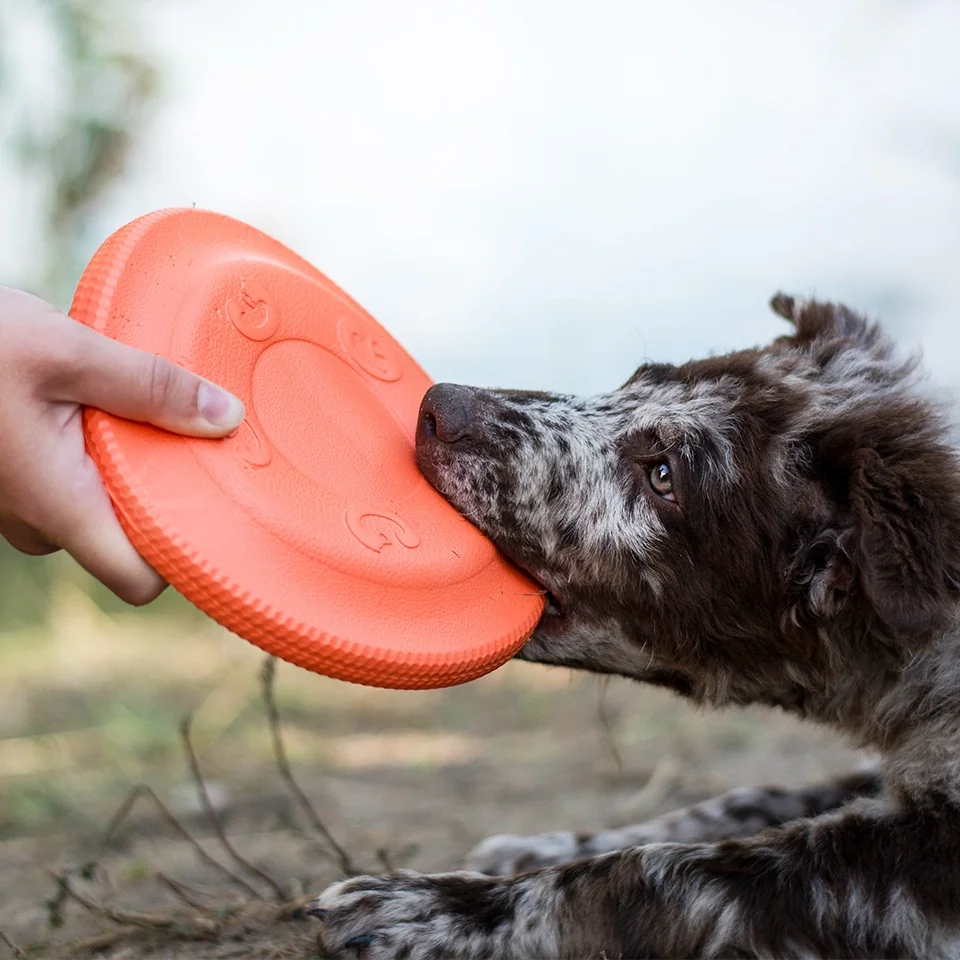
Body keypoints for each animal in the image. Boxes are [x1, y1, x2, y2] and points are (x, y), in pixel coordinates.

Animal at [308, 296, 960, 956]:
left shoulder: (922, 864)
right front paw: (546, 845)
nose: (436, 406)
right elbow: (746, 800)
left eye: (664, 476)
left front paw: (437, 908)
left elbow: (665, 872)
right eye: (637, 380)